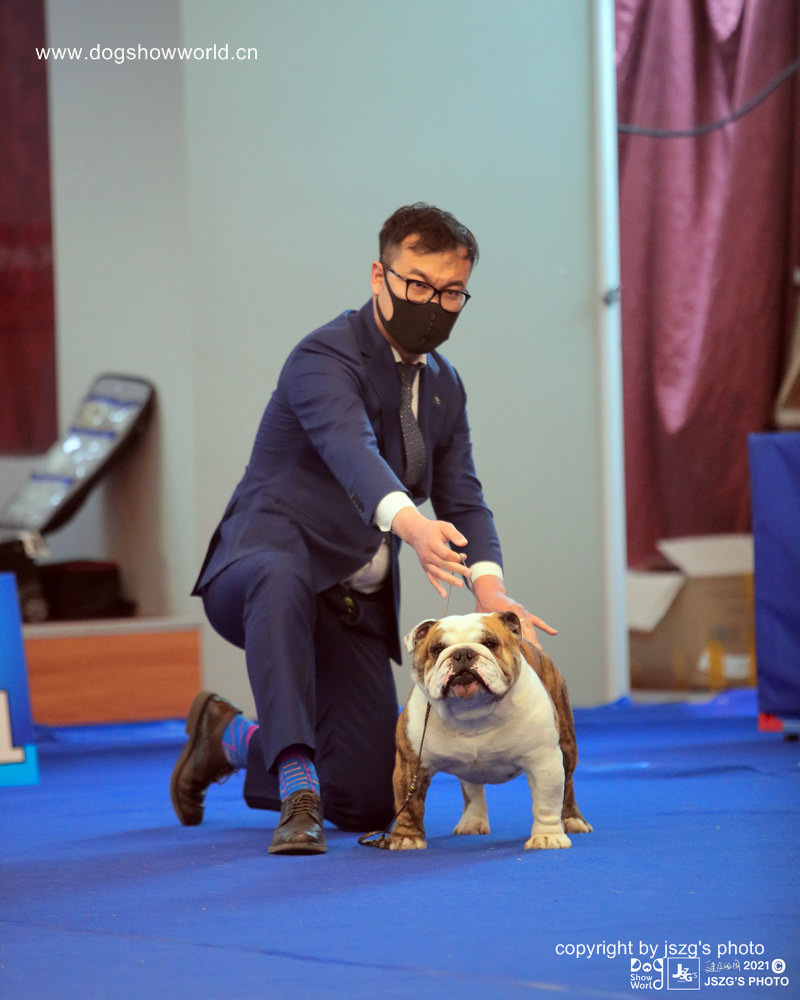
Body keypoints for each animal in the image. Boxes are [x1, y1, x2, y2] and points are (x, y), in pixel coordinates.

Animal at [389, 610, 592, 850]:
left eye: (490, 643)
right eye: (437, 649)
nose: (462, 653)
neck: (471, 710)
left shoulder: (544, 760)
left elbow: (547, 801)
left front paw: (547, 835)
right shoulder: (411, 764)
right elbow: (408, 803)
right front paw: (406, 836)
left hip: (567, 747)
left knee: (567, 785)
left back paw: (572, 819)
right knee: (472, 789)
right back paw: (472, 821)